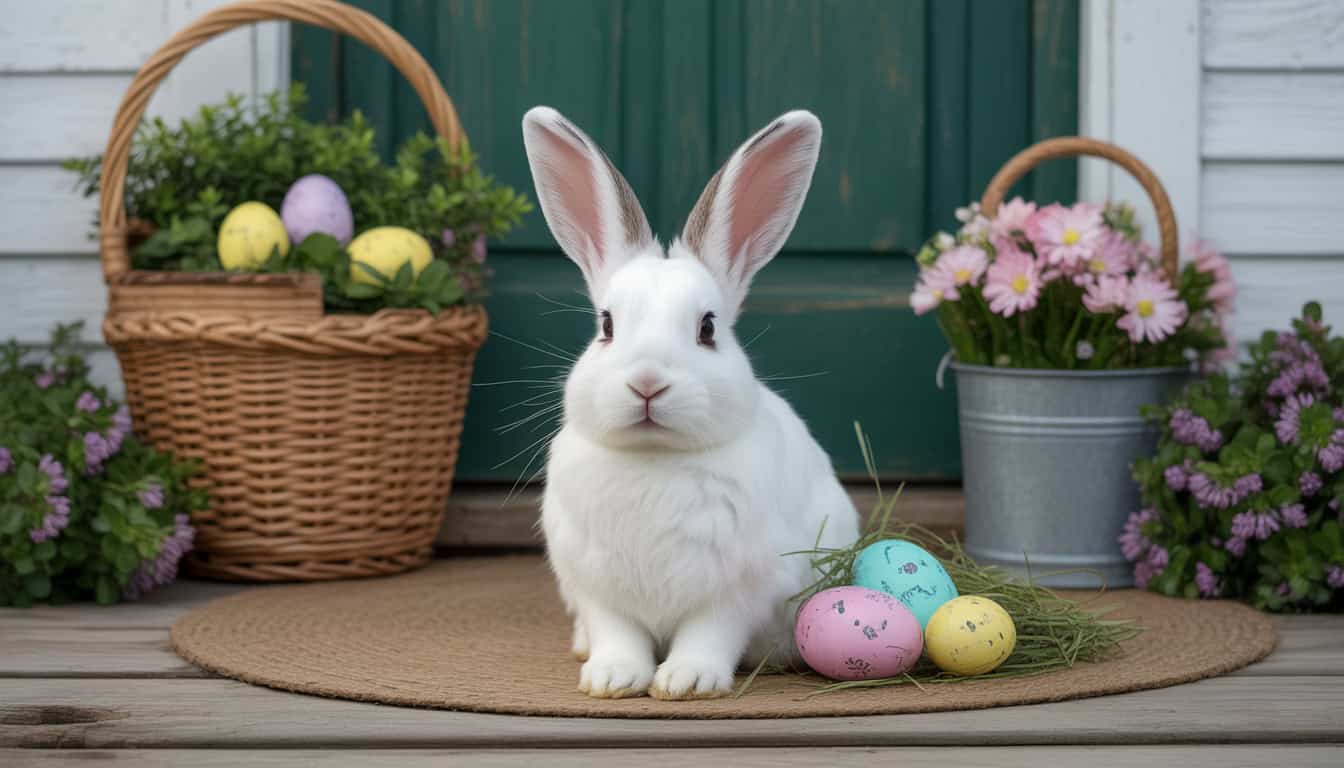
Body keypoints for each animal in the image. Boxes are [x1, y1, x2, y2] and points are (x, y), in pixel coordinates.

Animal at [521, 106, 859, 700]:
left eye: (707, 328)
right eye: (606, 326)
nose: (647, 381)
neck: (654, 459)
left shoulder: (736, 589)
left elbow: (709, 633)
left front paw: (687, 681)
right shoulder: (595, 586)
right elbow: (617, 632)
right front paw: (612, 678)